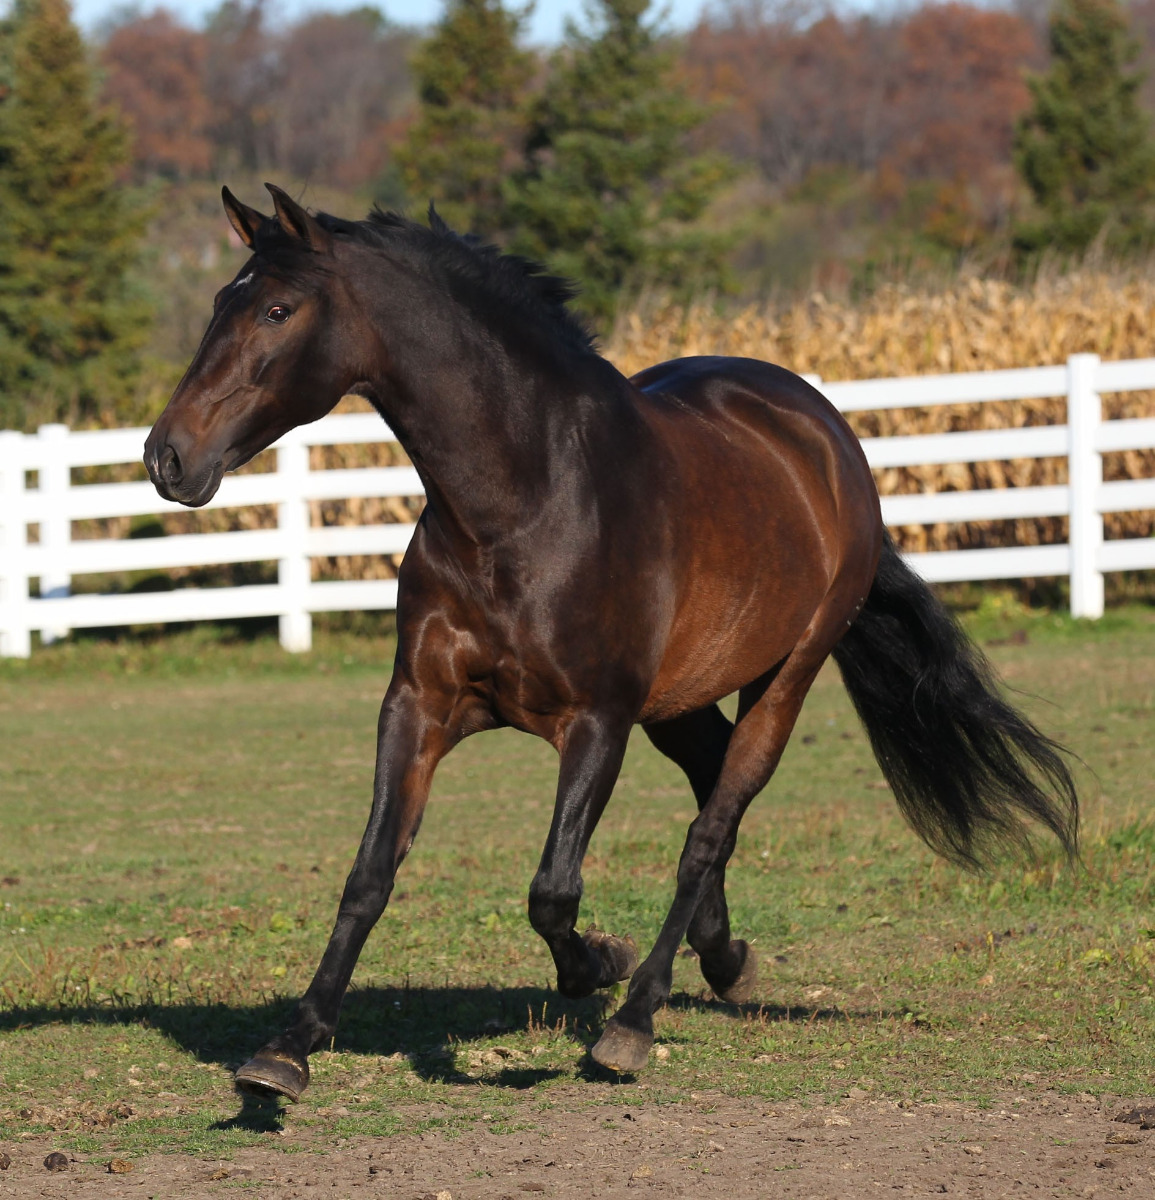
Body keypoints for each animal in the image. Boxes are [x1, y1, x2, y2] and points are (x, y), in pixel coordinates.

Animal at [144, 182, 1080, 1099]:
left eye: (278, 310)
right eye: (223, 302)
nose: (167, 457)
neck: (523, 504)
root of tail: (822, 430)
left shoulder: (596, 722)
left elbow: (553, 891)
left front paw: (600, 966)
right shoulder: (419, 706)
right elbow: (370, 873)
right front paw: (287, 1052)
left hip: (785, 676)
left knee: (711, 825)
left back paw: (635, 1019)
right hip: (679, 702)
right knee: (709, 789)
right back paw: (724, 961)